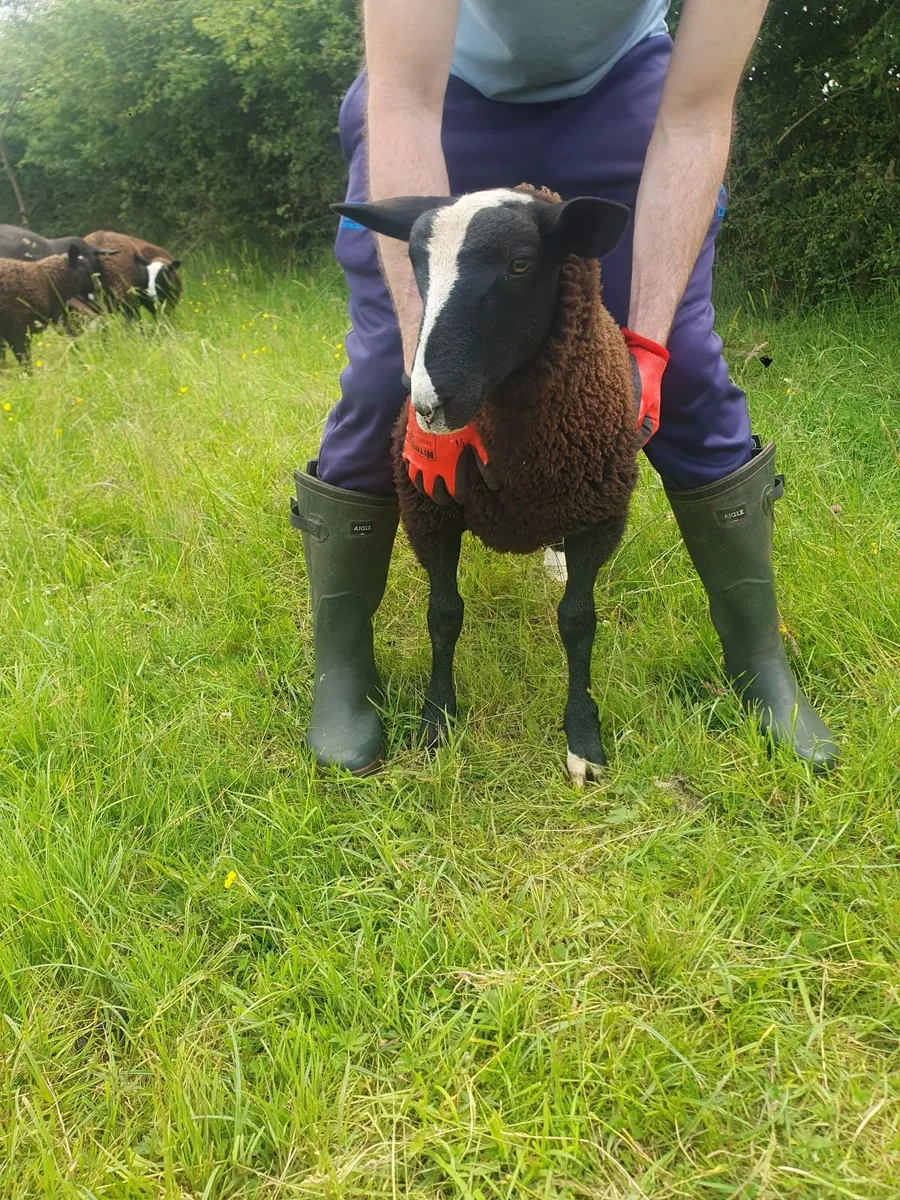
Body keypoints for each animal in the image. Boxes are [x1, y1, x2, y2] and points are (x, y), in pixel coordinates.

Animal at [336, 184, 638, 785]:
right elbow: (443, 615)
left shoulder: (598, 520)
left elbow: (578, 622)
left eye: (520, 264)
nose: (429, 406)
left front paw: (582, 738)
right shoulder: (428, 512)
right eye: (415, 263)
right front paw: (436, 720)